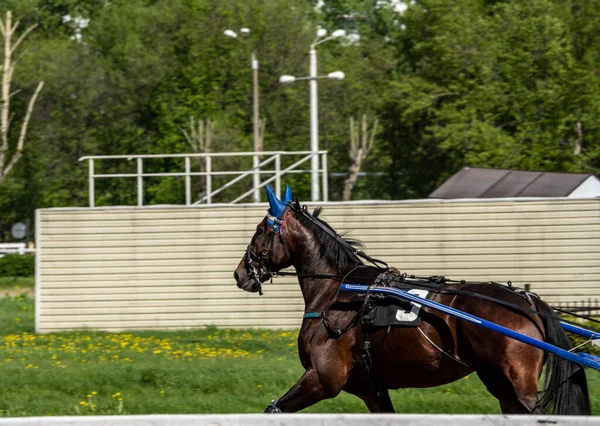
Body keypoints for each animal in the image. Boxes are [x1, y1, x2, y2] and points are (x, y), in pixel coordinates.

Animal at [232, 185, 588, 414]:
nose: (240, 273)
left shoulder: (322, 378)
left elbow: (273, 409)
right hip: (502, 387)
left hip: (515, 386)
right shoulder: (371, 389)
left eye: (261, 229)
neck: (338, 293)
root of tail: (527, 302)